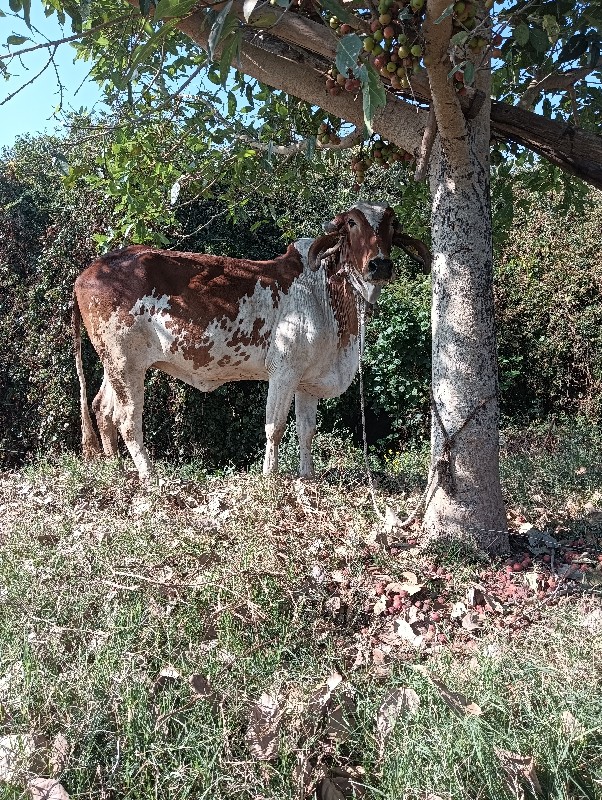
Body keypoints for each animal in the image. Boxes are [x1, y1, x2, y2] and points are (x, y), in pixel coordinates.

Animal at [74, 205, 432, 482]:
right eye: (353, 223)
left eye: (392, 225)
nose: (380, 264)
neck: (328, 292)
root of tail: (89, 271)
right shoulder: (284, 372)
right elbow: (275, 427)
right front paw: (269, 476)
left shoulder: (307, 382)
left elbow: (306, 430)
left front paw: (307, 476)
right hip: (125, 364)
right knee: (127, 421)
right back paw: (149, 475)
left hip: (116, 365)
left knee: (103, 409)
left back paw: (115, 468)